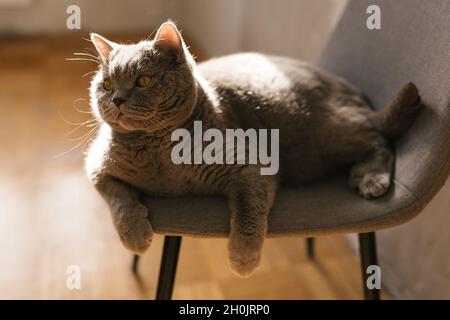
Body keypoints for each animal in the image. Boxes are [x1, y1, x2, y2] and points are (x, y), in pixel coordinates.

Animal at [85, 21, 422, 276]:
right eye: (106, 84)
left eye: (143, 80)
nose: (116, 98)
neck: (159, 155)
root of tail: (349, 88)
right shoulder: (98, 166)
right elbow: (118, 197)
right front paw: (135, 236)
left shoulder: (250, 167)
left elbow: (248, 212)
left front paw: (243, 260)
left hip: (330, 132)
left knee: (379, 138)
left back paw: (369, 178)